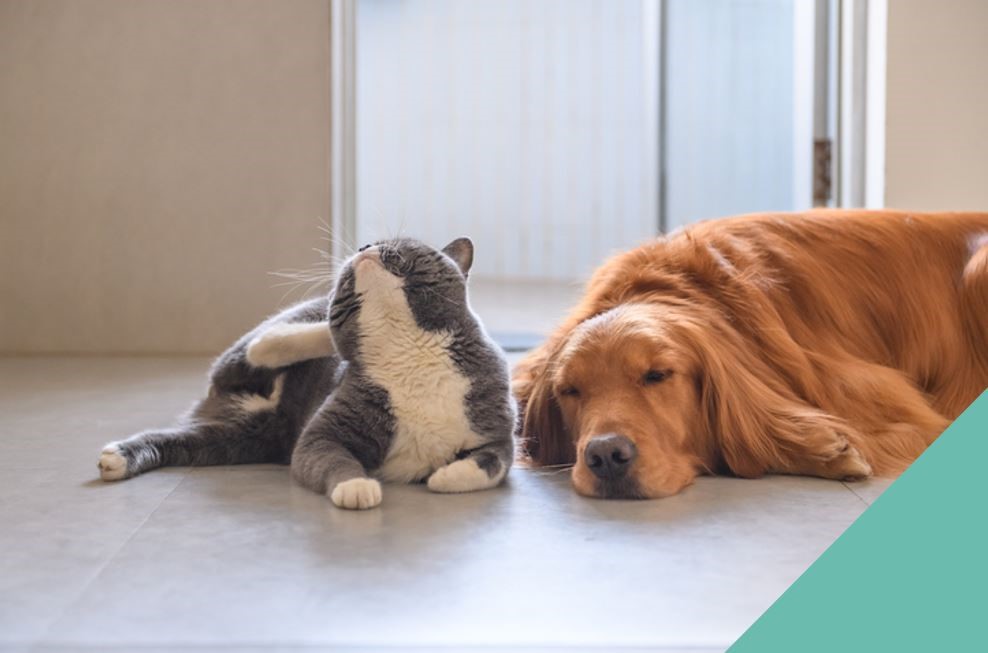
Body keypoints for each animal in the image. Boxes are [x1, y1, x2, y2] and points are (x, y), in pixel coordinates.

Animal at [98, 239, 516, 510]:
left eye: (402, 242)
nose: (365, 246)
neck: (407, 350)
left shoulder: (498, 430)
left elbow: (492, 464)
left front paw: (445, 476)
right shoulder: (322, 434)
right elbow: (330, 458)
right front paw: (356, 487)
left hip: (240, 439)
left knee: (181, 439)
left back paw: (119, 458)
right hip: (242, 368)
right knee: (259, 347)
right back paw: (286, 341)